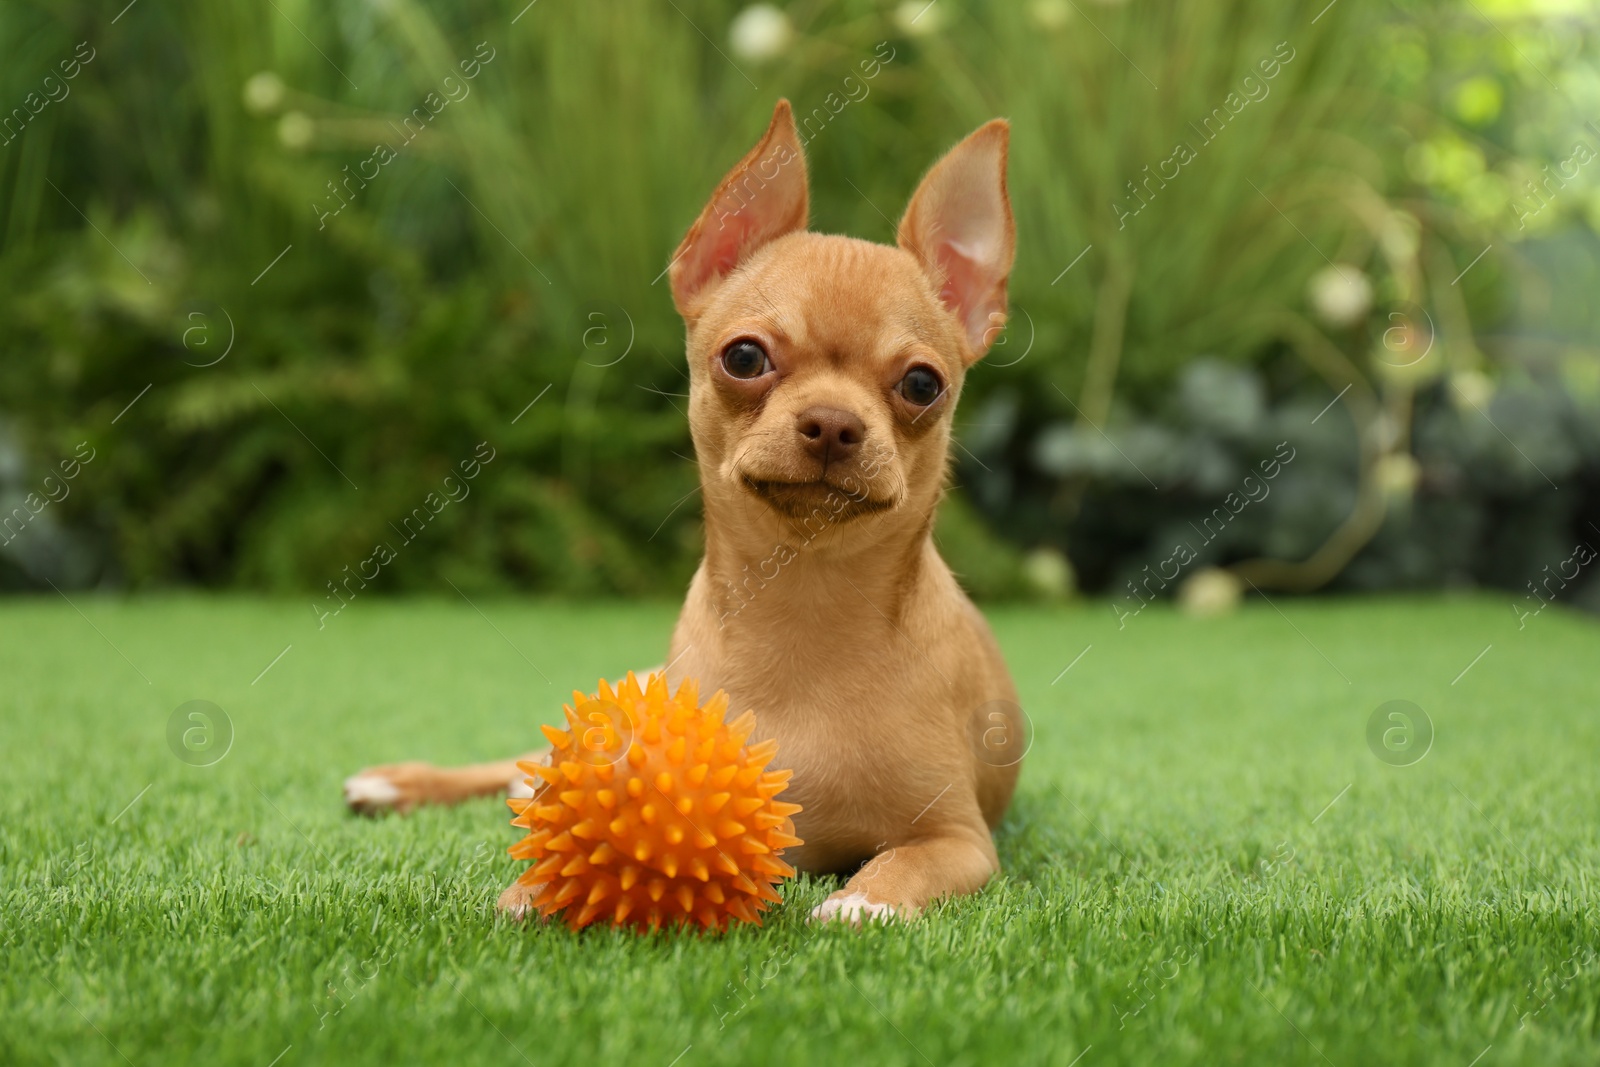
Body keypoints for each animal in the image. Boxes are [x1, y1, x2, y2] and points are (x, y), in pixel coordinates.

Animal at [348, 102, 1024, 927]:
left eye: (924, 384)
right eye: (744, 358)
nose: (833, 423)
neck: (807, 602)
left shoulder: (959, 840)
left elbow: (905, 861)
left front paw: (865, 901)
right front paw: (537, 887)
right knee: (523, 762)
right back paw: (402, 780)